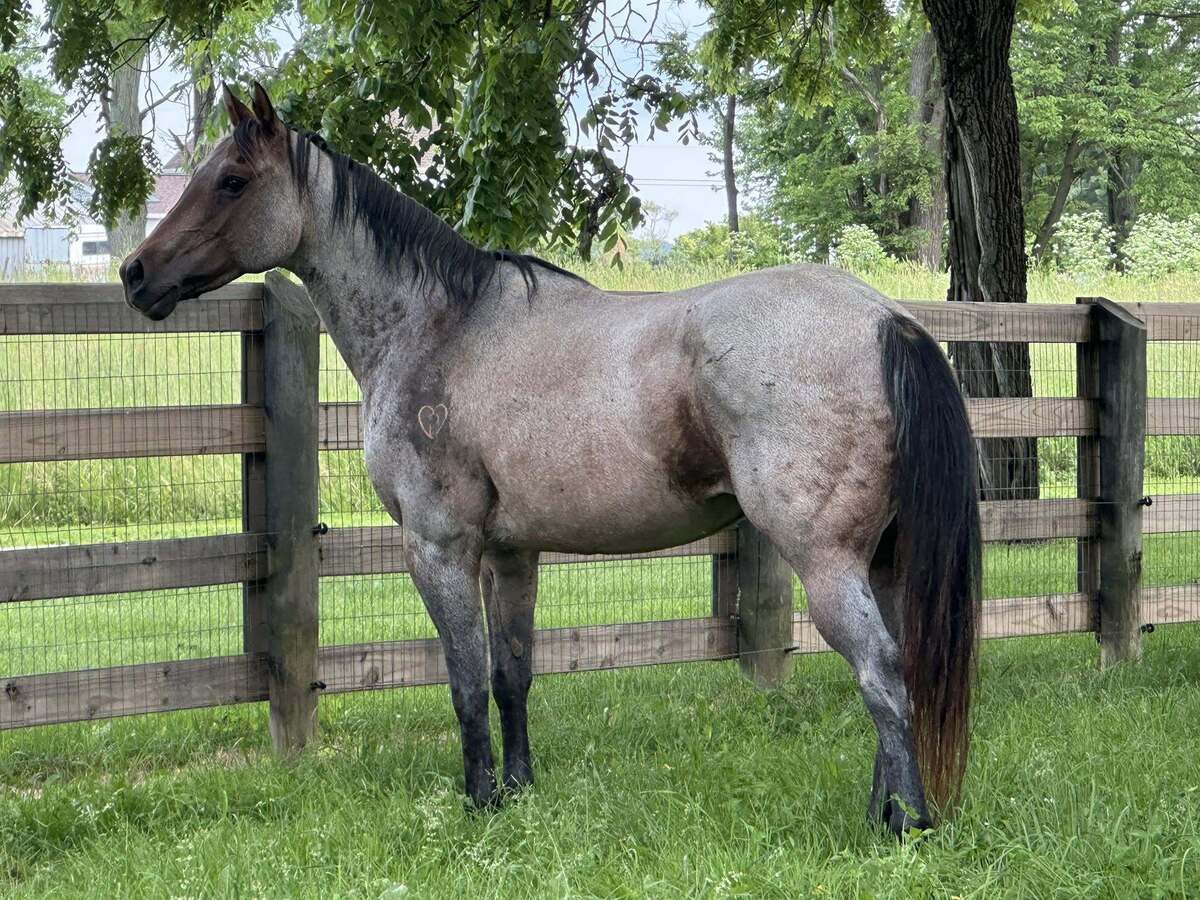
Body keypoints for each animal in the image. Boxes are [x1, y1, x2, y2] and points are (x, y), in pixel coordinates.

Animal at [119, 83, 980, 835]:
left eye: (232, 181)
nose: (135, 273)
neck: (444, 327)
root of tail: (886, 319)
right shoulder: (512, 554)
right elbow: (511, 676)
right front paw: (520, 789)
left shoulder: (439, 550)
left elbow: (466, 683)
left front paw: (478, 802)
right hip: (885, 560)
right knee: (901, 667)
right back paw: (886, 811)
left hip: (826, 562)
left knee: (881, 674)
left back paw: (904, 824)